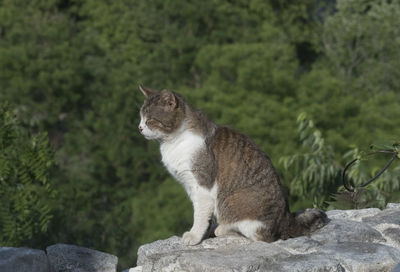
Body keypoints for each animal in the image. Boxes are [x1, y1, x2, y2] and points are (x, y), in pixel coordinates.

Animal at [139, 85, 326, 244]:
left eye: (149, 120)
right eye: (140, 118)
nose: (139, 128)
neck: (174, 141)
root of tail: (286, 220)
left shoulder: (202, 186)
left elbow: (200, 215)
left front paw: (194, 236)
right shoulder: (190, 187)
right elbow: (205, 216)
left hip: (230, 201)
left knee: (257, 235)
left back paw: (223, 229)